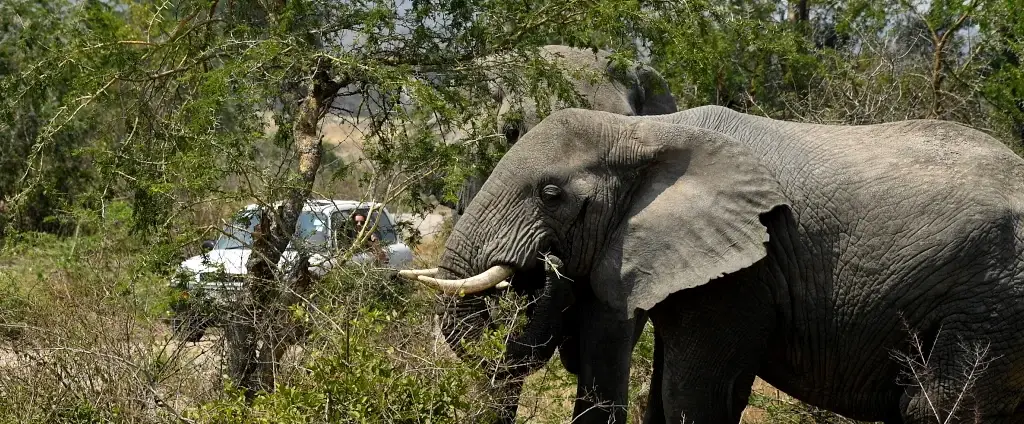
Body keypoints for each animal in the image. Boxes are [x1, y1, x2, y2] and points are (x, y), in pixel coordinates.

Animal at [402, 104, 1024, 423]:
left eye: (550, 193)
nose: (546, 265)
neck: (652, 130)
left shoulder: (745, 267)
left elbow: (694, 393)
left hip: (994, 298)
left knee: (933, 406)